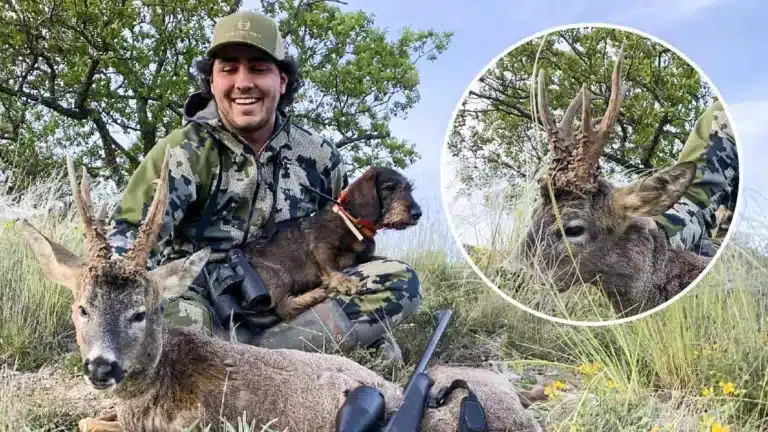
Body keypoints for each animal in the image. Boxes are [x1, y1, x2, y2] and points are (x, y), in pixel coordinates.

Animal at [243, 166, 422, 321]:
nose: (418, 213)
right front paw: (345, 281)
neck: (353, 223)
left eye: (409, 189)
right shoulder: (322, 245)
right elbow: (332, 267)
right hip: (279, 275)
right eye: (389, 188)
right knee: (283, 309)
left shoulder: (362, 256)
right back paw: (313, 295)